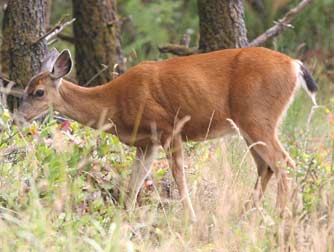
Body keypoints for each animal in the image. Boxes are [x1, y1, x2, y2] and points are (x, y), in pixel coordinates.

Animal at [16, 46, 318, 221]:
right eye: (25, 89)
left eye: (38, 92)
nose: (19, 117)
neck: (114, 104)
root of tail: (295, 64)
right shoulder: (145, 143)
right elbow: (135, 181)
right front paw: (125, 217)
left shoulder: (168, 126)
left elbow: (178, 176)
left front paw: (191, 218)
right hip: (248, 123)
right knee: (266, 166)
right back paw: (246, 214)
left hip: (257, 115)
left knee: (284, 162)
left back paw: (282, 215)